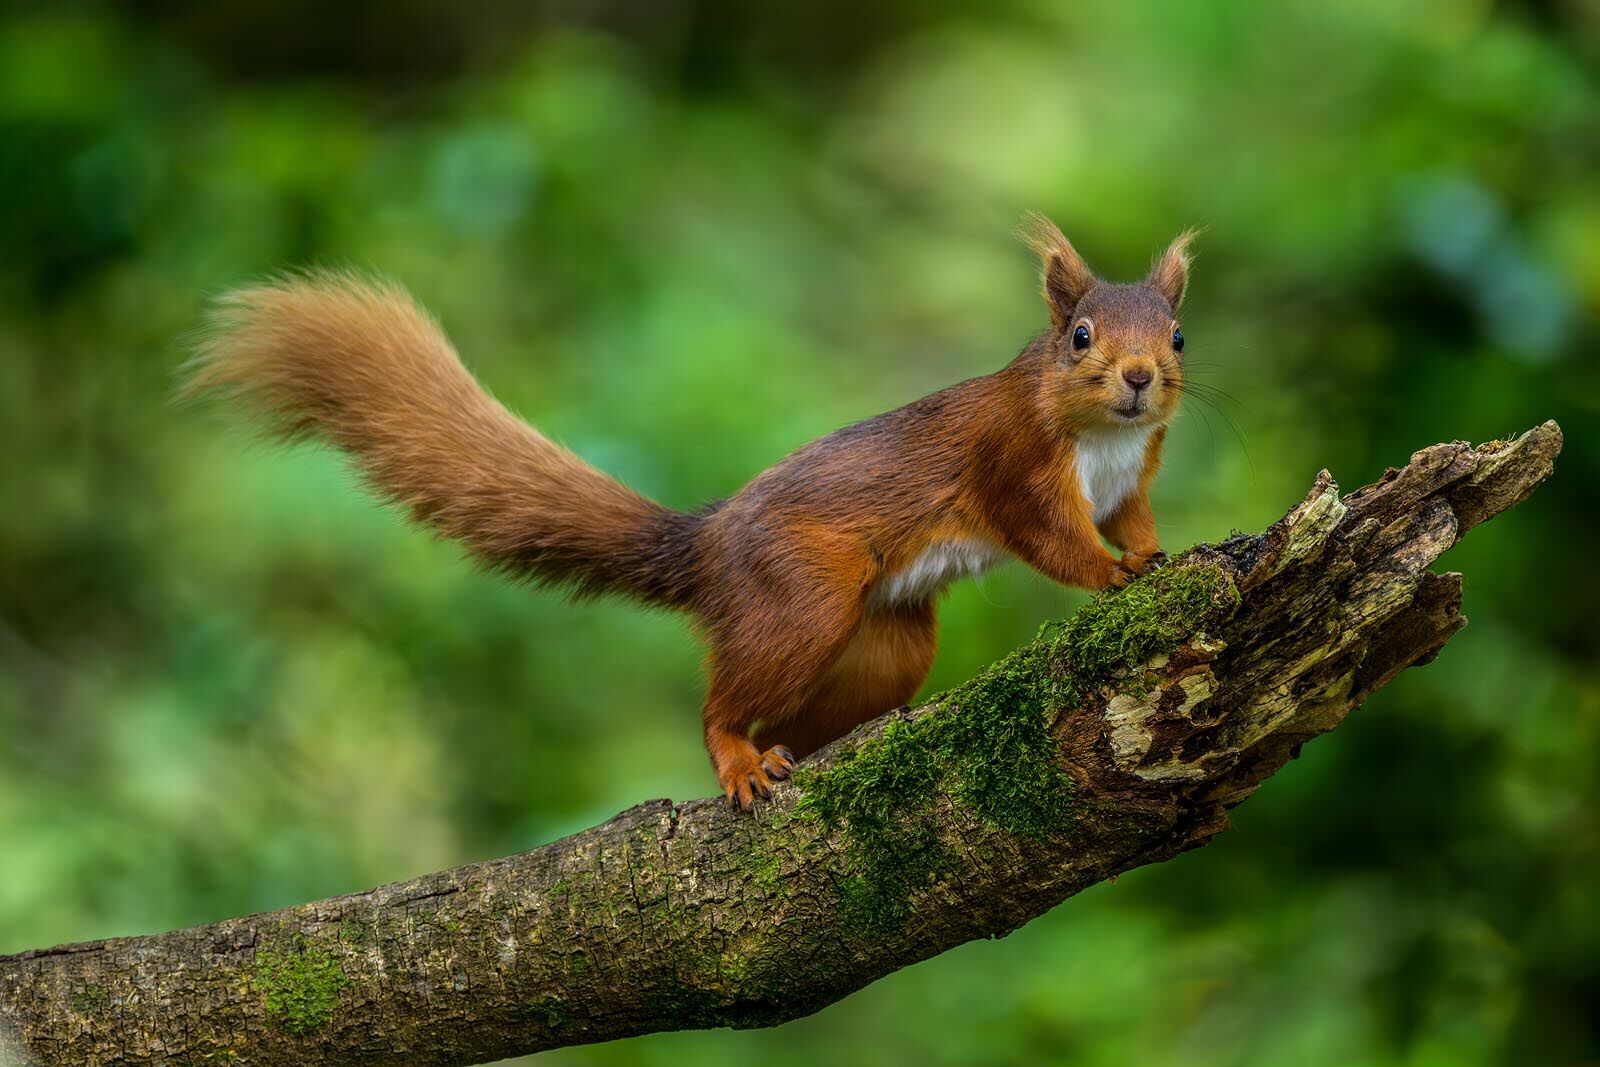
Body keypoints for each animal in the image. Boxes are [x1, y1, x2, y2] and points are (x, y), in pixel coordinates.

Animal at [183, 214, 1197, 810]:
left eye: (1179, 336)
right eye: (1080, 337)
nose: (1140, 378)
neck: (1100, 439)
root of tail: (705, 546)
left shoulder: (1132, 477)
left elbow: (1136, 519)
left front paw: (1162, 555)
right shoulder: (1014, 469)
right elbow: (1055, 541)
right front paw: (1115, 574)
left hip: (887, 643)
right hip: (802, 596)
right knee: (718, 707)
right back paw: (741, 759)